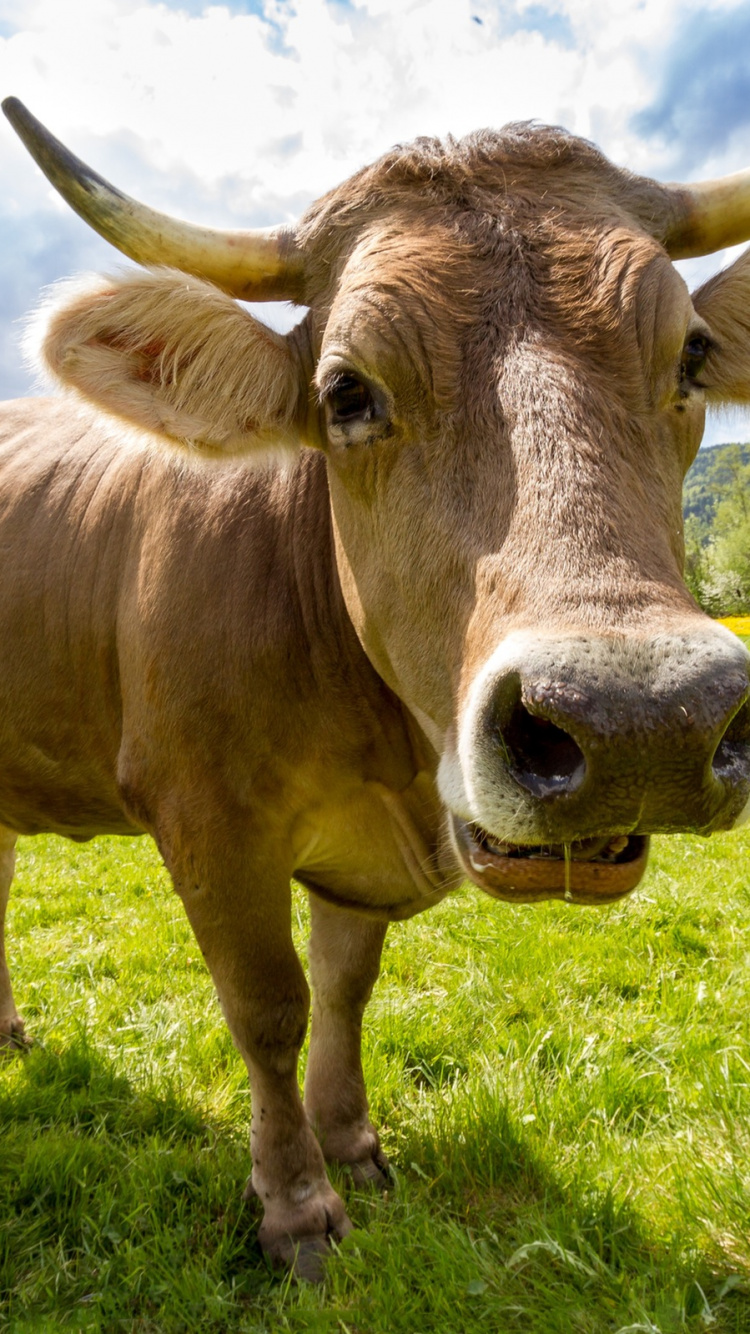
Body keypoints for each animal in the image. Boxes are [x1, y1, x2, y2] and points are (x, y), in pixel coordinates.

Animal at [2, 97, 750, 1280]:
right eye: (346, 392)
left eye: (691, 357)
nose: (641, 722)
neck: (388, 758)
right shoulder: (206, 822)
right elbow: (270, 1008)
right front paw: (297, 1206)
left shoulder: (356, 867)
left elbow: (347, 990)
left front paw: (353, 1146)